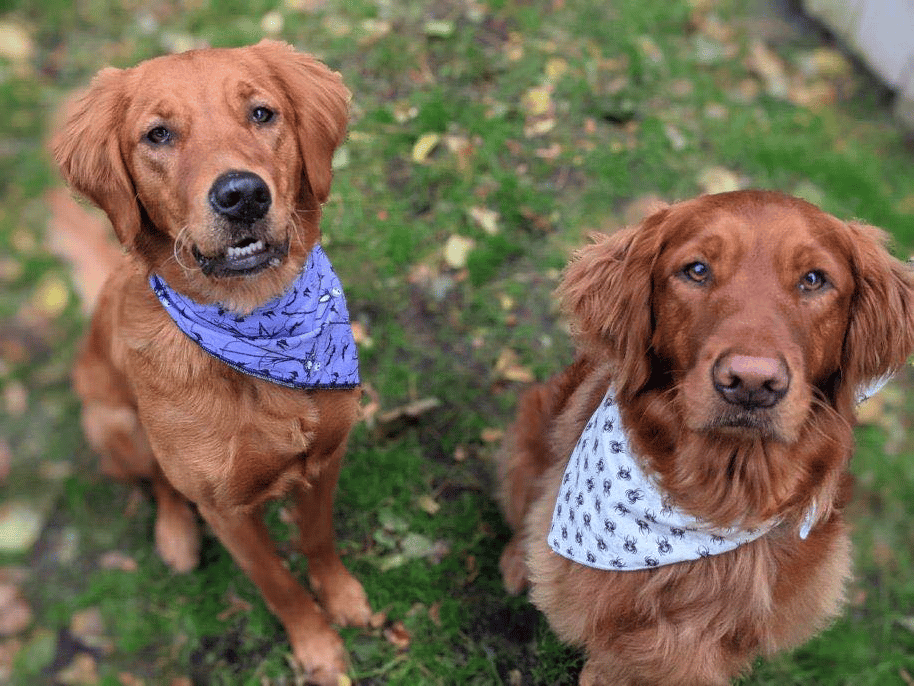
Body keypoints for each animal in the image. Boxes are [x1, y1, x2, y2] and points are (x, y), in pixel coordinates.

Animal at [52, 41, 368, 684]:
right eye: (158, 134)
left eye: (262, 114)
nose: (242, 194)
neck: (261, 326)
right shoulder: (226, 510)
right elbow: (279, 585)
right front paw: (317, 648)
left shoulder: (327, 457)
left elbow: (318, 541)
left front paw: (343, 598)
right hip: (114, 424)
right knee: (160, 484)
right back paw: (174, 537)